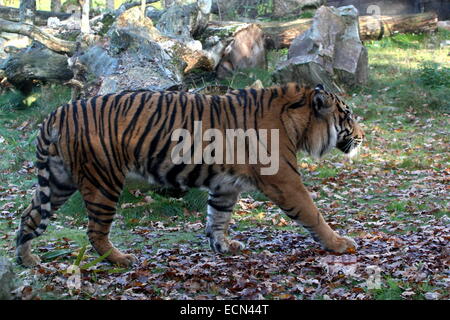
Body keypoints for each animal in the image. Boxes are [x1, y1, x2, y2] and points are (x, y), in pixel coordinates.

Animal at [15, 83, 364, 268]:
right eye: (347, 116)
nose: (362, 136)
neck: (297, 121)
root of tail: (56, 113)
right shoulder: (284, 180)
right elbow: (312, 212)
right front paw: (340, 244)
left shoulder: (225, 184)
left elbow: (218, 217)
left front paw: (223, 246)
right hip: (103, 180)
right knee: (94, 231)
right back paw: (121, 259)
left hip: (58, 181)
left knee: (29, 217)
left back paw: (27, 260)